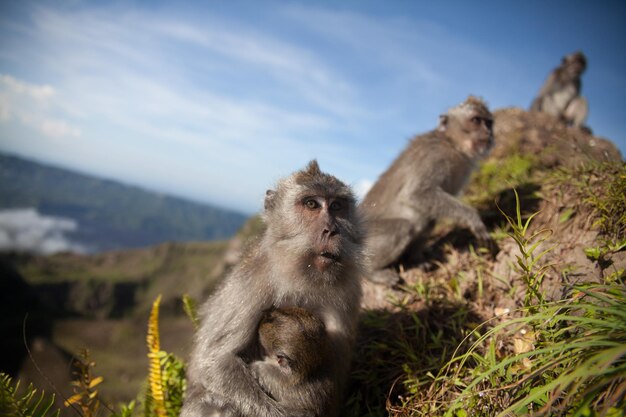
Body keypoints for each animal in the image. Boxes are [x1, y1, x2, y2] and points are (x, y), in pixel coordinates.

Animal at [179, 160, 366, 416]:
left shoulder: (350, 289)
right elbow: (215, 362)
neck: (302, 276)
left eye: (337, 206)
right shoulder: (253, 279)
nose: (331, 229)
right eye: (311, 204)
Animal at [360, 96, 492, 284]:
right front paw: (473, 219)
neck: (451, 144)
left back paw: (416, 259)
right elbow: (416, 194)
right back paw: (372, 272)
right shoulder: (434, 156)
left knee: (428, 220)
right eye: (476, 120)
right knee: (402, 227)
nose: (488, 133)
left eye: (489, 123)